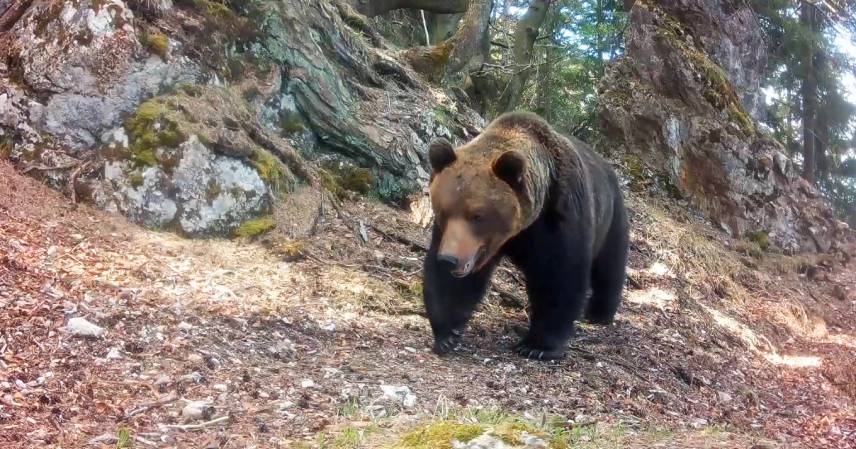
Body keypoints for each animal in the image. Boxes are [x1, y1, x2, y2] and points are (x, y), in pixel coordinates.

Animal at [422, 111, 628, 360]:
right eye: (444, 211)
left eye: (477, 215)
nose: (450, 259)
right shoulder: (455, 238)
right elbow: (452, 282)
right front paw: (447, 333)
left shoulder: (561, 215)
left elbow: (560, 277)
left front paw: (537, 345)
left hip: (611, 215)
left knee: (610, 265)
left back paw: (599, 313)